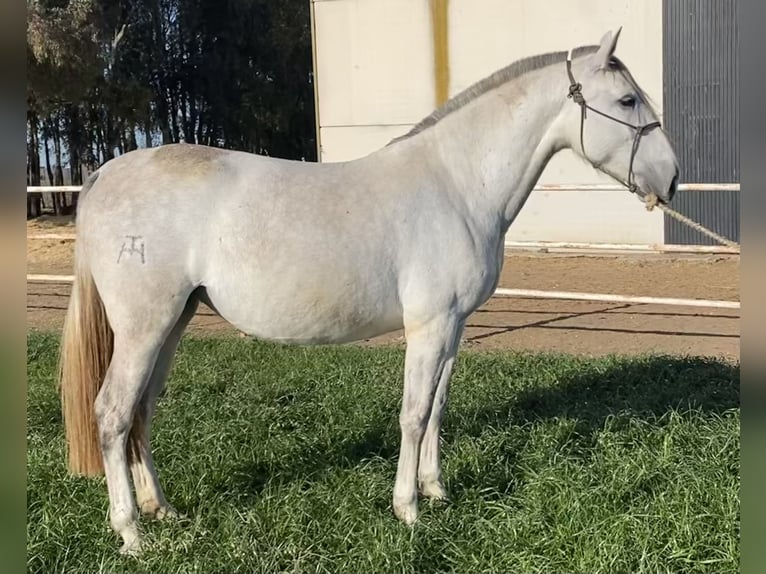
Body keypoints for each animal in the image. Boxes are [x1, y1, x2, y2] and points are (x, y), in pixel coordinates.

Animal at [60, 29, 680, 556]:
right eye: (627, 100)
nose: (671, 179)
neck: (455, 183)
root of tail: (104, 174)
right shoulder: (427, 325)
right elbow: (413, 412)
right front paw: (408, 510)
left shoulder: (452, 326)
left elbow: (437, 407)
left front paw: (436, 491)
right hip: (143, 326)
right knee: (112, 413)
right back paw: (131, 533)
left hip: (174, 321)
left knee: (142, 410)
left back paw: (160, 509)